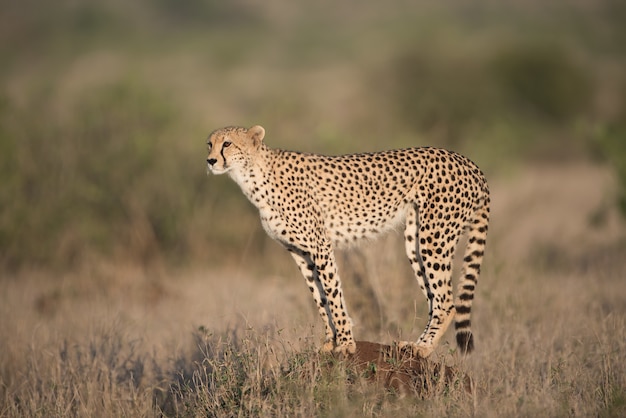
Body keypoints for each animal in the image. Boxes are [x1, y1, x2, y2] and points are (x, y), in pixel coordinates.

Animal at [205, 125, 488, 358]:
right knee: (433, 298)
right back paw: (415, 344)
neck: (253, 175)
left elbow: (333, 293)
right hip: (416, 239)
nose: (210, 160)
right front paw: (330, 341)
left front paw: (346, 344)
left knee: (446, 301)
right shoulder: (300, 253)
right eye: (209, 144)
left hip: (435, 237)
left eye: (227, 143)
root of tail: (467, 161)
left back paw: (423, 348)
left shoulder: (320, 246)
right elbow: (319, 297)